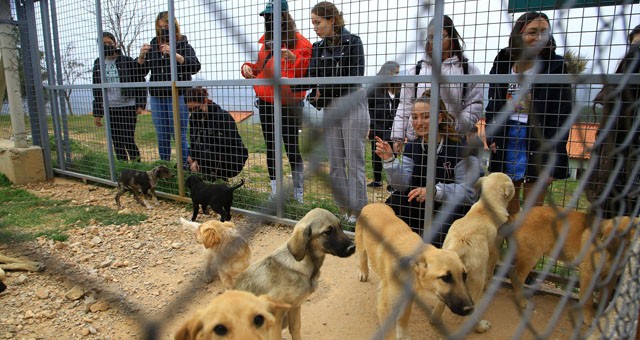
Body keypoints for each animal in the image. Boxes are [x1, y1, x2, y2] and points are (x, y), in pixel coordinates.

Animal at [234, 207, 358, 340]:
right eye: (328, 232)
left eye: (340, 226)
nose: (353, 247)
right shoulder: (276, 316)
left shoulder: (295, 307)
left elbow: (295, 329)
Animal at [356, 203, 476, 338]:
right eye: (445, 278)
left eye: (464, 275)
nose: (470, 309)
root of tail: (373, 204)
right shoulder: (386, 306)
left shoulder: (408, 297)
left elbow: (404, 317)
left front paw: (403, 336)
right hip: (361, 244)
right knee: (362, 257)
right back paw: (363, 272)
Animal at [430, 171, 516, 334]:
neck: (486, 207)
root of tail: (460, 245)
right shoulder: (495, 250)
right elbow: (491, 272)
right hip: (477, 278)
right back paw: (480, 327)